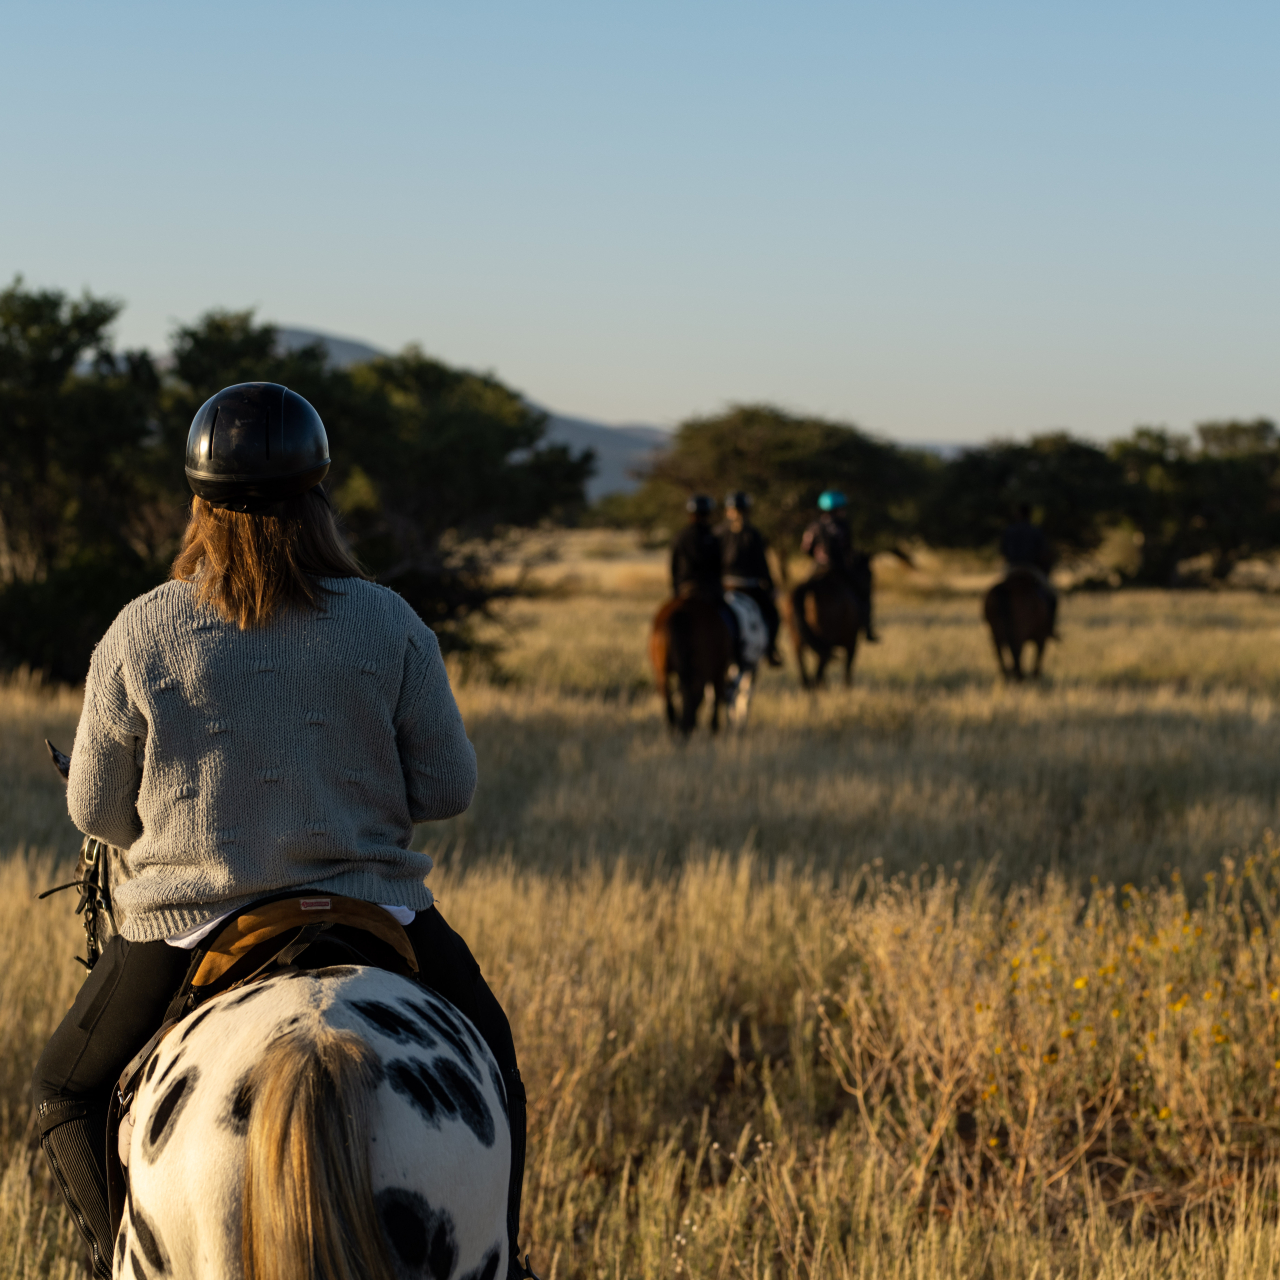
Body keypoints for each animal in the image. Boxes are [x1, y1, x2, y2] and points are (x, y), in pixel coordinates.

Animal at [650, 594, 732, 735]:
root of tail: (681, 612)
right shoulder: (718, 671)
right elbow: (715, 697)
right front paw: (714, 727)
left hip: (662, 671)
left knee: (668, 695)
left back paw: (675, 728)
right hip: (704, 670)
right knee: (694, 692)